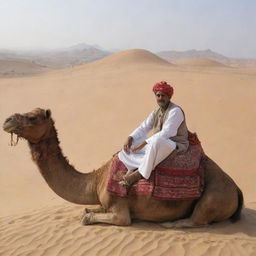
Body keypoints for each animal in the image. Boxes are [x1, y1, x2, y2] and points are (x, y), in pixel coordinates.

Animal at [3, 108, 244, 228]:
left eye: (32, 118)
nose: (7, 120)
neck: (97, 179)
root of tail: (237, 189)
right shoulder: (104, 202)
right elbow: (89, 210)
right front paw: (89, 210)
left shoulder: (120, 210)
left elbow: (94, 218)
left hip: (215, 194)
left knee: (198, 219)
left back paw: (170, 224)